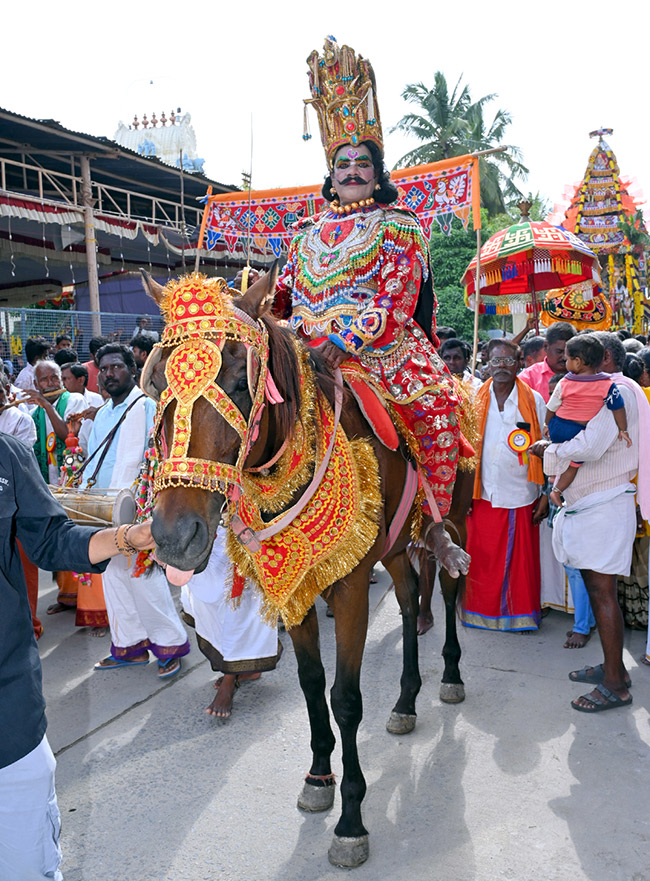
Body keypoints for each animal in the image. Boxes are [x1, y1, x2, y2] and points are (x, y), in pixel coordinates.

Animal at [139, 268, 468, 868]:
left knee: (450, 587)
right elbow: (312, 684)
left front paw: (352, 821)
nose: (175, 537)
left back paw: (450, 676)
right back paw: (405, 700)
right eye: (157, 386)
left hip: (452, 516)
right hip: (391, 546)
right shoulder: (296, 592)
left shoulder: (351, 586)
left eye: (240, 384)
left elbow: (345, 699)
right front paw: (319, 778)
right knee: (410, 600)